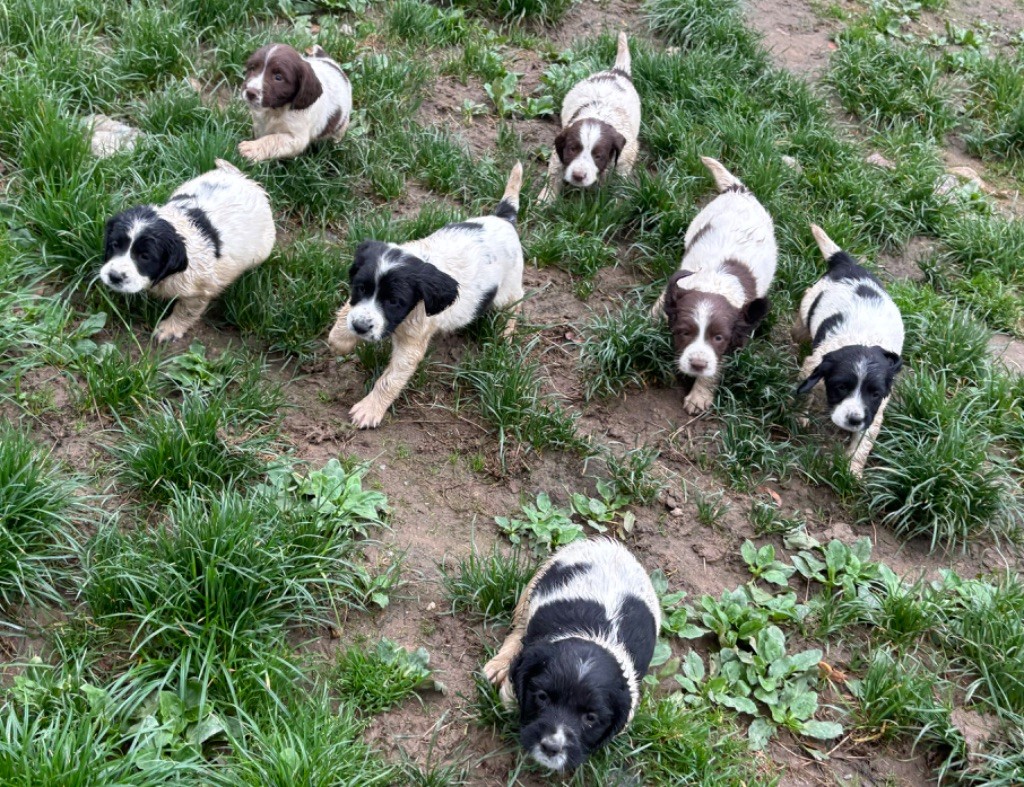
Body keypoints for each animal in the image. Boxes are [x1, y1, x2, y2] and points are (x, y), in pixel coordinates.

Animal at [99, 159, 276, 339]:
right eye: (115, 245)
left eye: (145, 256)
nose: (114, 277)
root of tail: (246, 180)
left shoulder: (199, 290)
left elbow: (186, 310)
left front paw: (169, 328)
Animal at [327, 161, 524, 425]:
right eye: (360, 288)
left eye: (394, 301)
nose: (359, 328)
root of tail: (504, 217)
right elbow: (346, 311)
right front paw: (341, 341)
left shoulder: (412, 343)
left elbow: (390, 380)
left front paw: (369, 409)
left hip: (507, 290)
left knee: (516, 303)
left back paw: (505, 334)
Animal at [481, 536, 659, 769]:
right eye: (542, 697)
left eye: (590, 718)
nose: (551, 747)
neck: (596, 636)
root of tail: (609, 544)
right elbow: (511, 696)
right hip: (534, 586)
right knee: (518, 628)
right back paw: (498, 666)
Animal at [536, 30, 638, 202]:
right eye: (572, 149)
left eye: (598, 156)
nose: (578, 176)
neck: (598, 114)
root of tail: (617, 72)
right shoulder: (559, 151)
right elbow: (554, 175)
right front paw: (545, 199)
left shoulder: (627, 154)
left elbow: (620, 178)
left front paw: (617, 200)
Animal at [790, 224, 905, 474]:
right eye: (841, 387)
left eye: (875, 393)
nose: (853, 420)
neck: (863, 340)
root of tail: (849, 265)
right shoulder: (813, 365)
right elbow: (805, 393)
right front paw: (800, 417)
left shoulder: (875, 410)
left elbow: (863, 442)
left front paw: (852, 470)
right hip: (811, 302)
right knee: (805, 302)